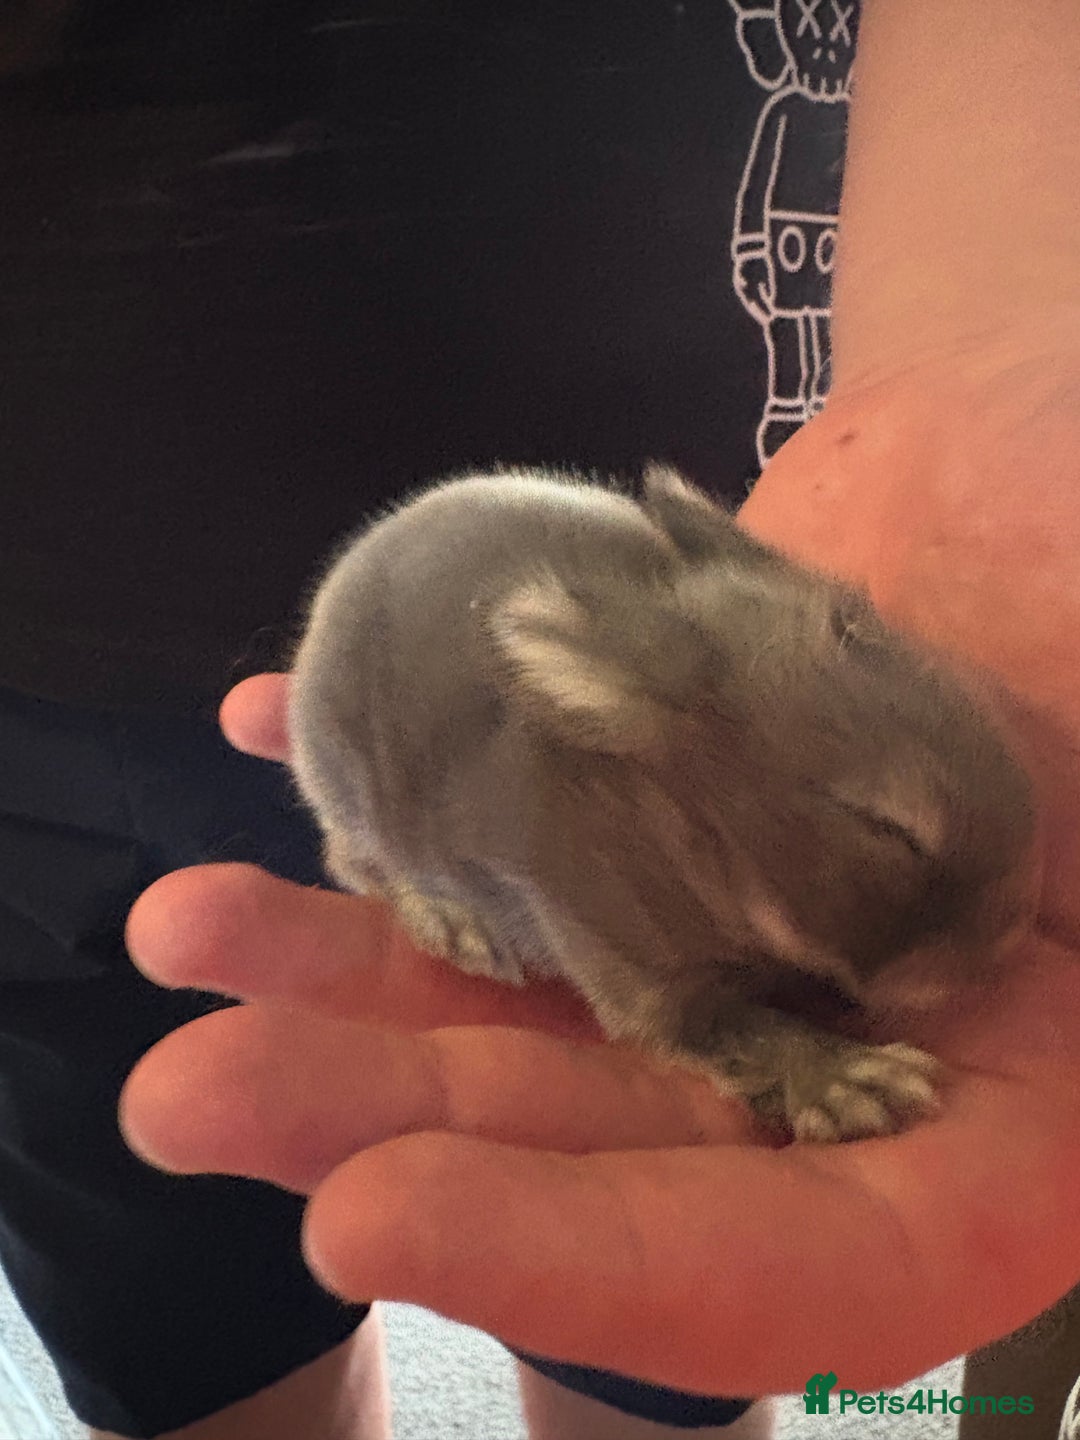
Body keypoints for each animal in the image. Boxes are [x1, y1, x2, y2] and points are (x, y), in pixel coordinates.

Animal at [286, 464, 1036, 1142]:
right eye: (889, 828)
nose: (1012, 933)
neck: (677, 830)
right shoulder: (632, 969)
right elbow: (741, 1030)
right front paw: (858, 1084)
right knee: (354, 862)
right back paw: (456, 928)